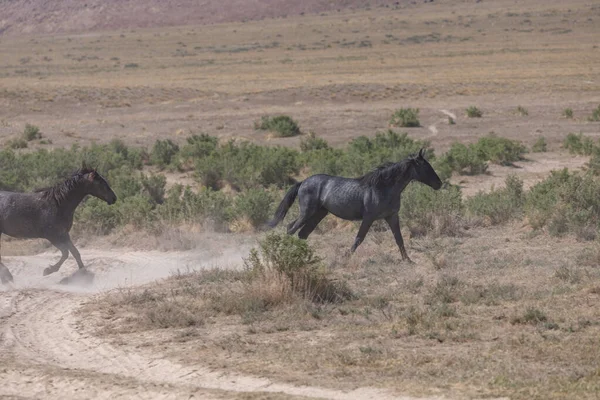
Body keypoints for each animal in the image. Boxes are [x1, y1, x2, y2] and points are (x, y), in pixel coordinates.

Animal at [270, 150, 442, 262]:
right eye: (426, 167)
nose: (439, 184)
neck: (383, 187)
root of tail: (303, 182)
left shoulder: (392, 216)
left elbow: (399, 238)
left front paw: (408, 260)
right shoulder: (369, 218)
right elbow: (359, 238)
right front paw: (345, 257)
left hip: (318, 214)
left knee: (302, 233)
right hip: (307, 212)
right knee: (291, 228)